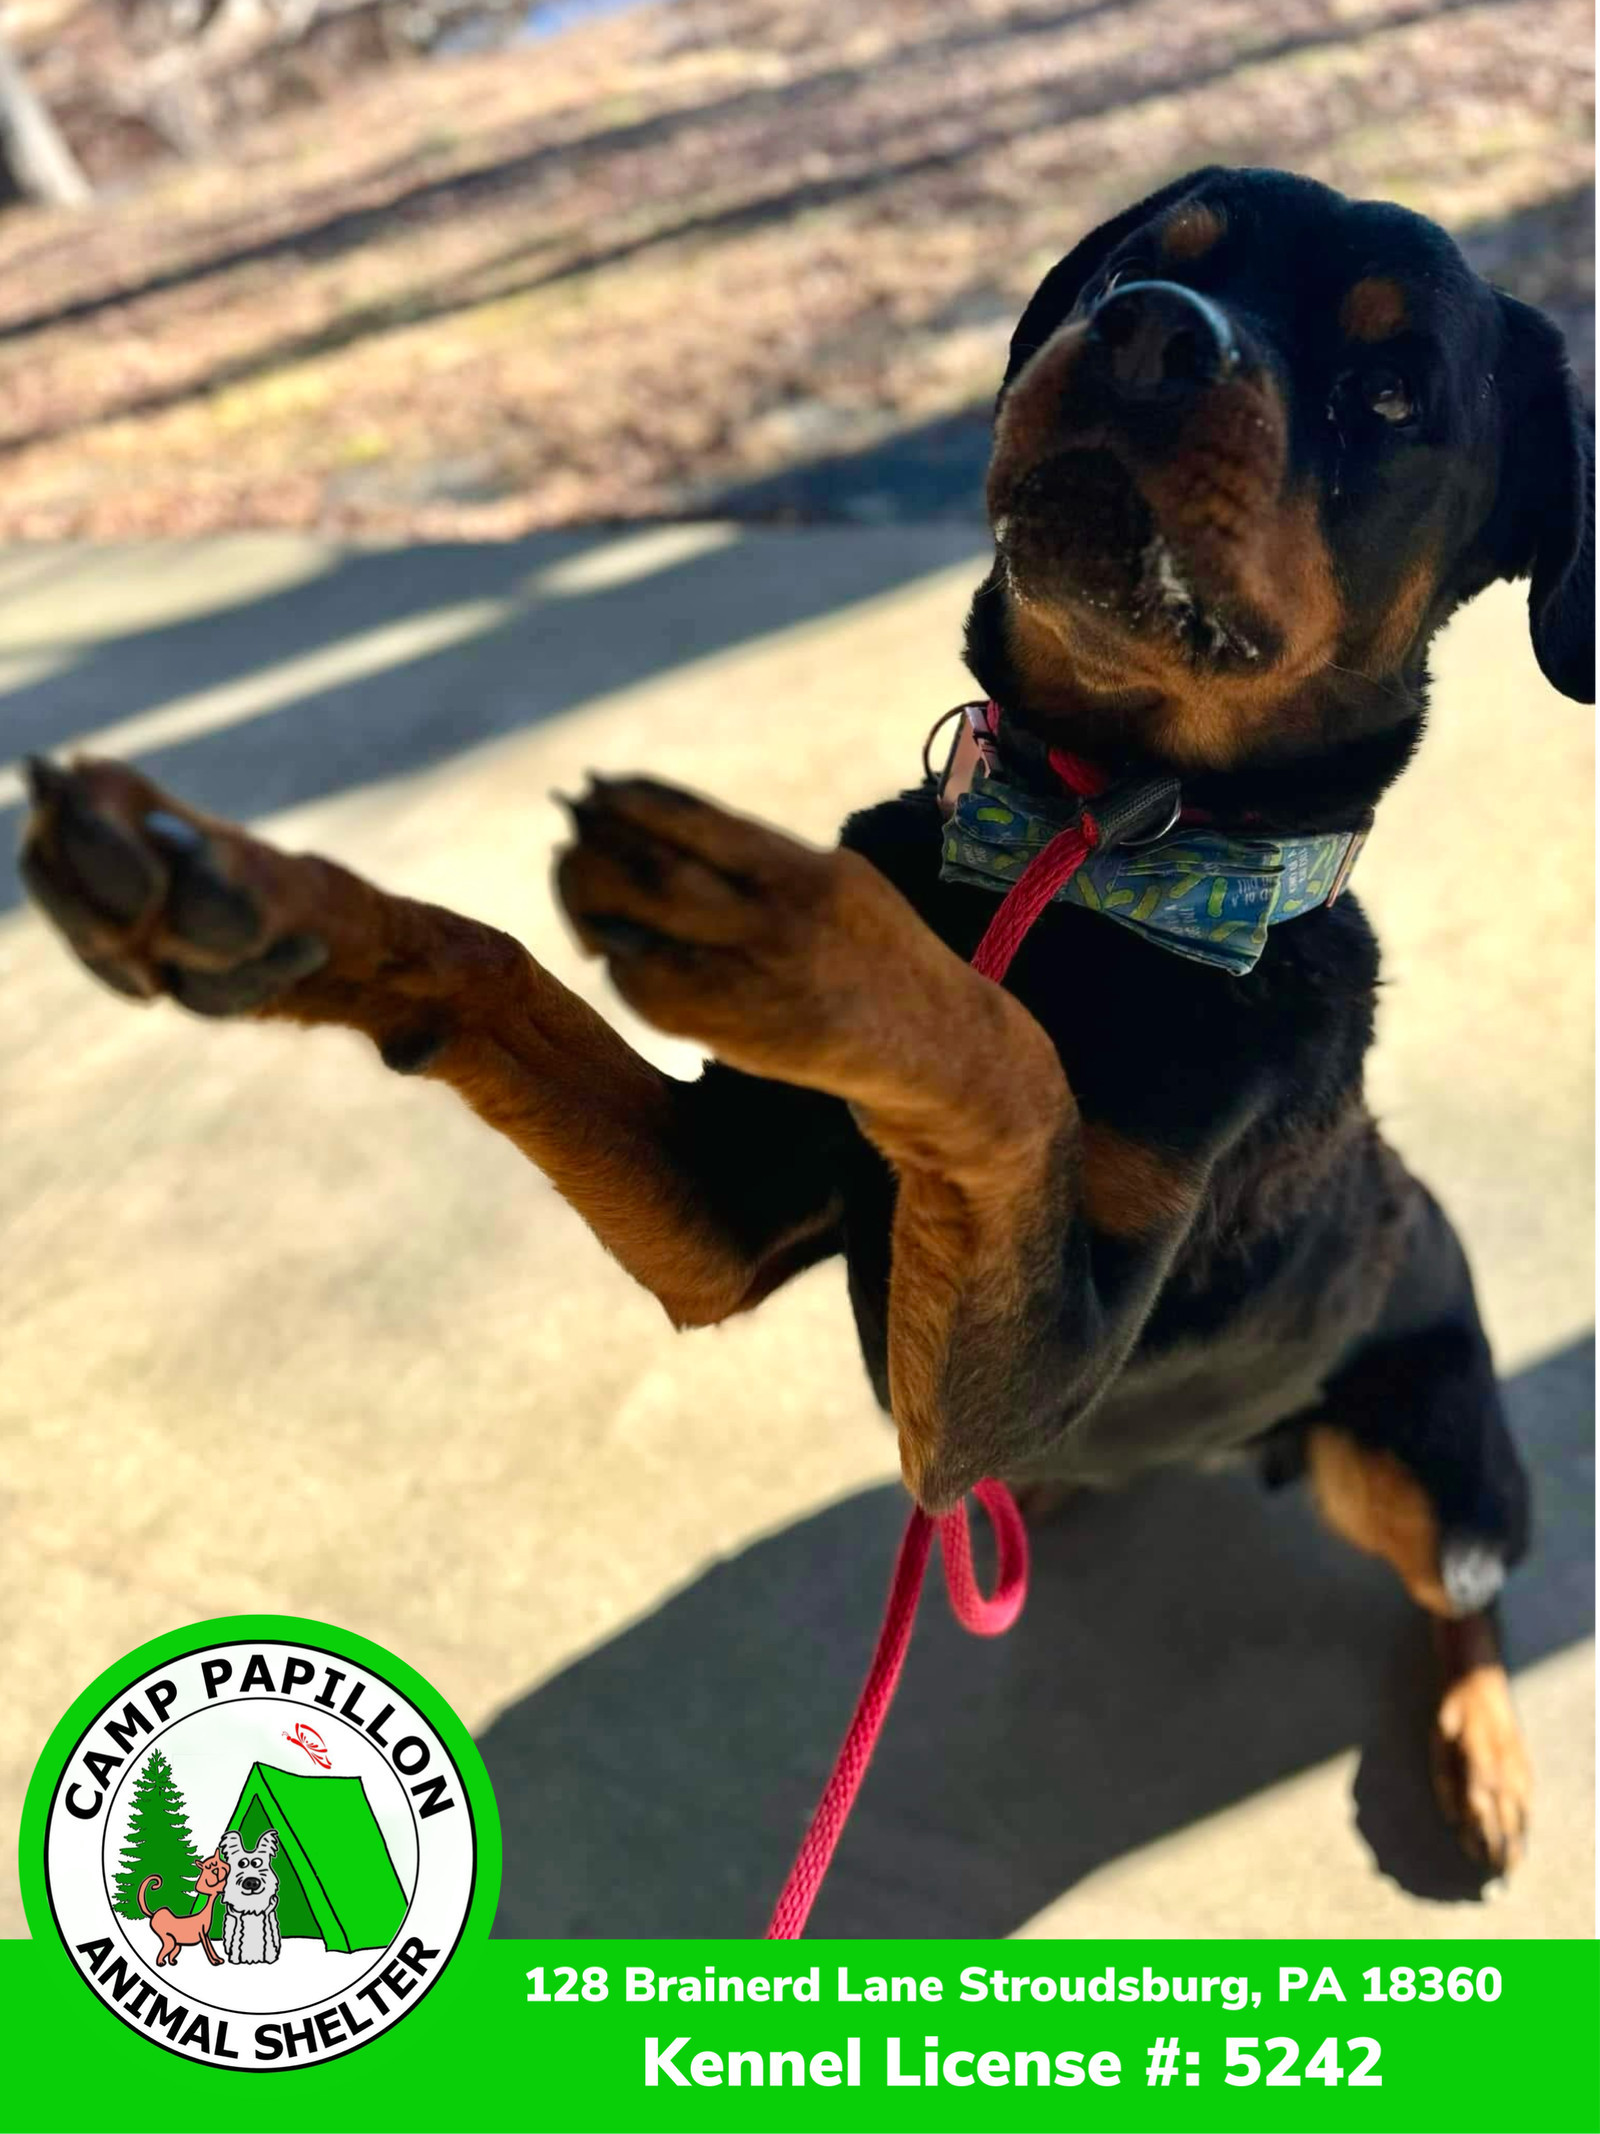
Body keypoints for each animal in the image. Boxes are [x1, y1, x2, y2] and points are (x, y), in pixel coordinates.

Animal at [18, 170, 1595, 1886]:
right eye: (1144, 259)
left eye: (1393, 392)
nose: (1148, 336)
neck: (1093, 851)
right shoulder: (730, 1209)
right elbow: (486, 959)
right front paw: (236, 891)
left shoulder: (1020, 1373)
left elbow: (1006, 1057)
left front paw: (798, 929)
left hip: (1418, 1459)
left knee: (1467, 1590)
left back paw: (1483, 1752)